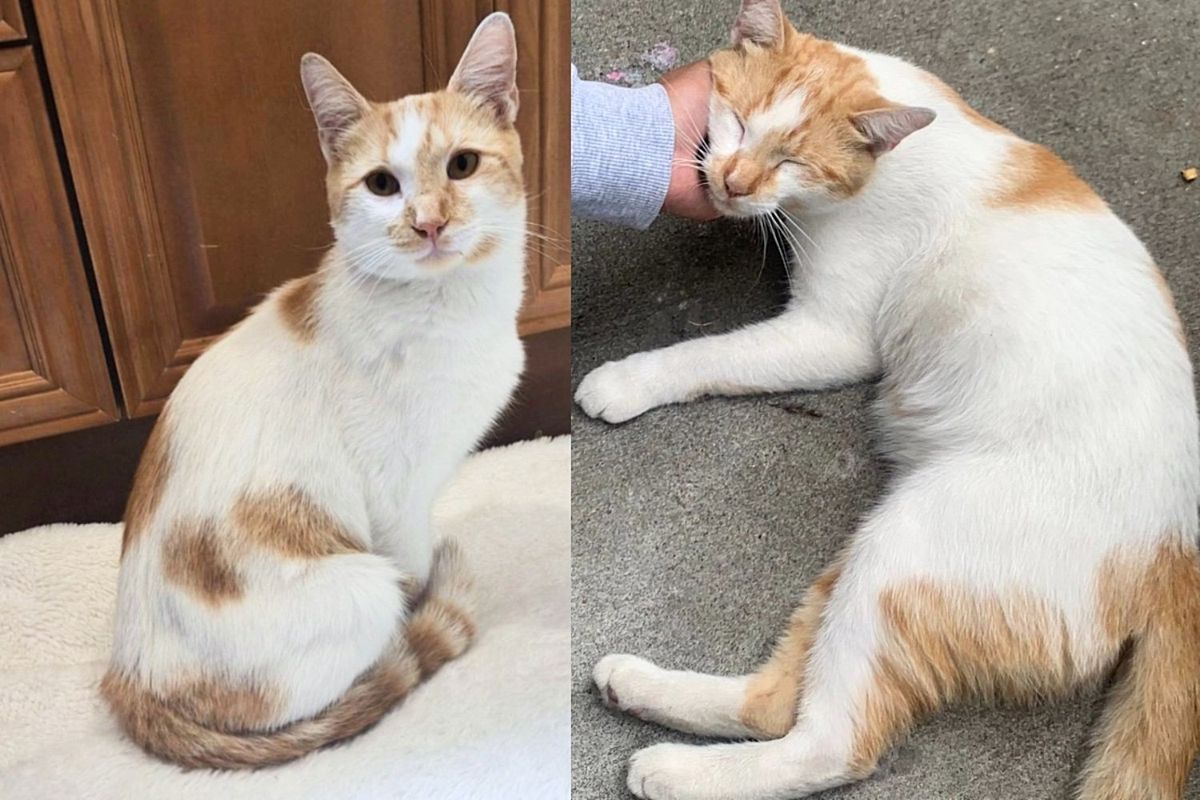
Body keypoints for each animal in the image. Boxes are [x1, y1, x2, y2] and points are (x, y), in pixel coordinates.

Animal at [105, 12, 528, 767]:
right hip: (357, 587)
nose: (428, 221)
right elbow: (413, 568)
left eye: (463, 165)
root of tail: (130, 683)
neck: (449, 308)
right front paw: (425, 614)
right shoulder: (393, 496)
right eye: (382, 184)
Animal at [576, 1, 1195, 800]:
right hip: (866, 560)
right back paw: (638, 687)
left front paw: (628, 378)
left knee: (830, 745)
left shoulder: (832, 334)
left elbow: (708, 354)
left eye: (793, 160)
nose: (735, 182)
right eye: (737, 121)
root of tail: (1176, 549)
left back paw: (675, 771)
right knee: (774, 703)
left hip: (906, 546)